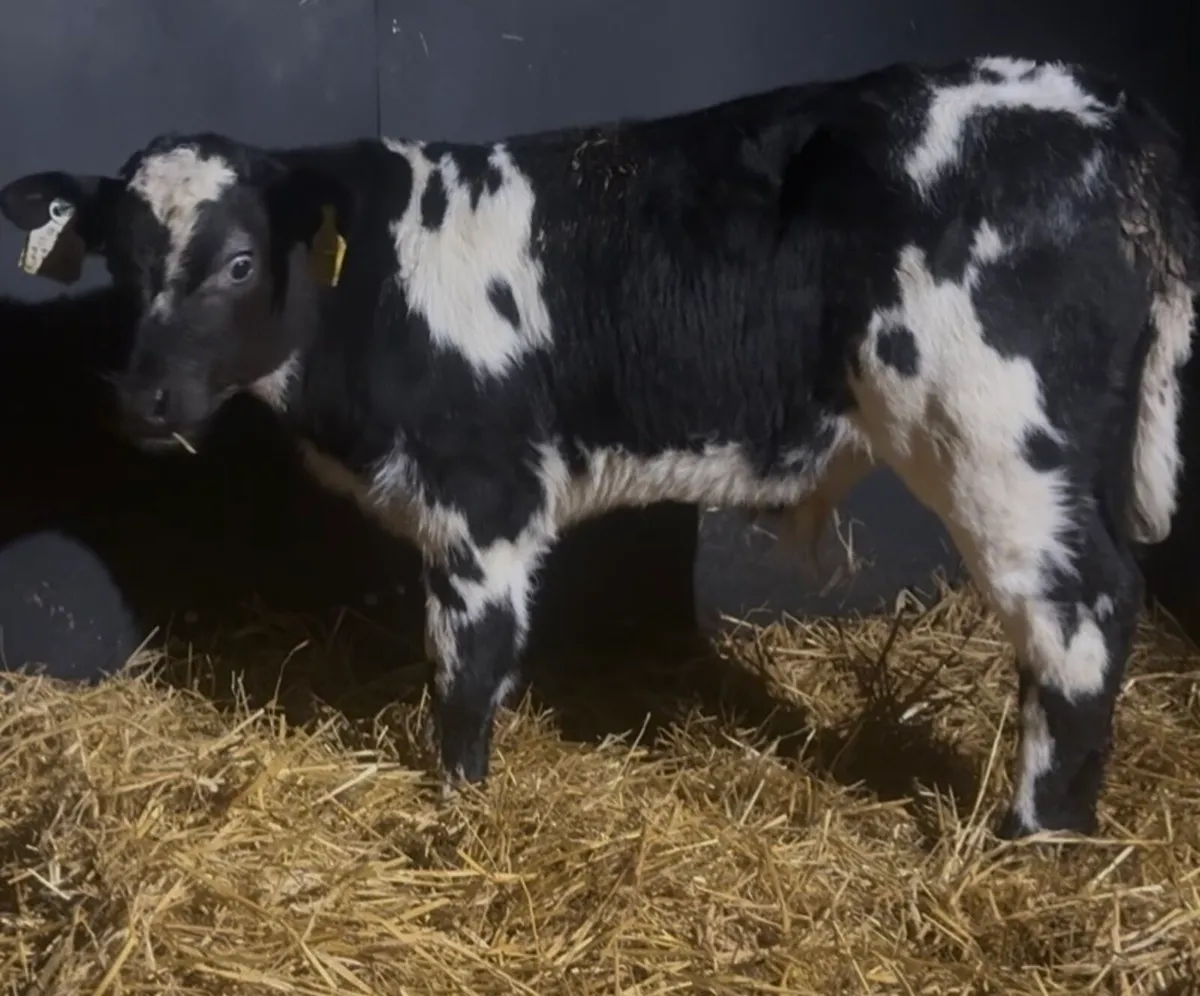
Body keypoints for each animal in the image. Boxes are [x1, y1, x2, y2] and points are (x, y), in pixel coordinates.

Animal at [2, 54, 1196, 840]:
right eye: (117, 259)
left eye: (241, 261)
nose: (143, 398)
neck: (375, 292)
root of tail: (1102, 108)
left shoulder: (483, 497)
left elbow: (467, 669)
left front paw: (458, 810)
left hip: (998, 440)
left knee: (1080, 611)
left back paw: (1034, 838)